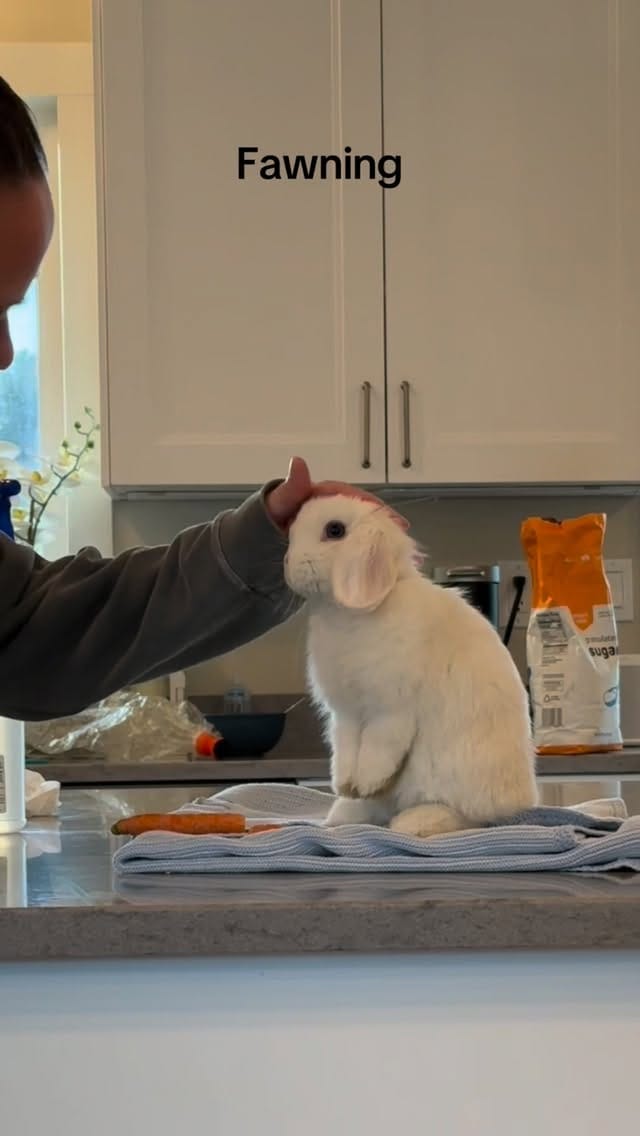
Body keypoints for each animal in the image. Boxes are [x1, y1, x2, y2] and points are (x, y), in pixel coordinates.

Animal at [284, 495, 538, 837]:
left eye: (334, 530)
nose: (287, 563)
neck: (351, 613)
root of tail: (519, 799)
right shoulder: (345, 714)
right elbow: (345, 751)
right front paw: (347, 787)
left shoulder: (390, 710)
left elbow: (378, 750)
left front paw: (366, 784)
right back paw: (345, 814)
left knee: (466, 816)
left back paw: (414, 823)